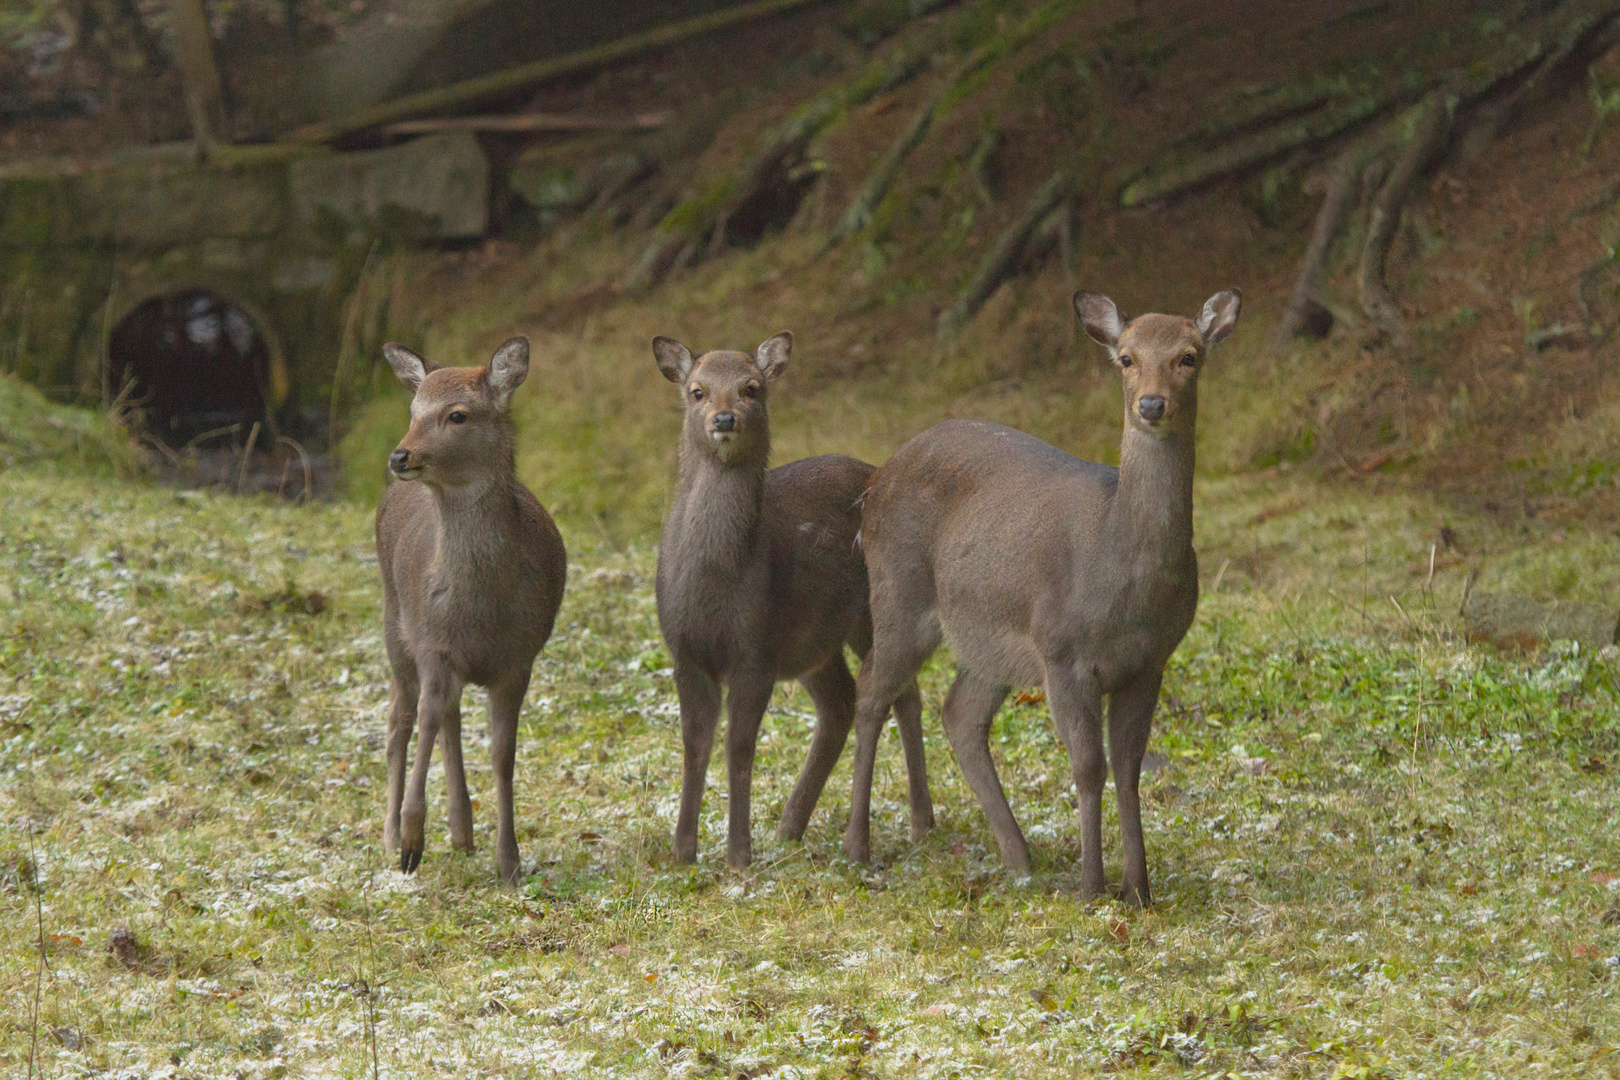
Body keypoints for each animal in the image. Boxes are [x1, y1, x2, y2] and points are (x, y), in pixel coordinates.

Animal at [375, 338, 567, 887]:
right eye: (413, 410)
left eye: (457, 414)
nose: (400, 455)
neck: (483, 612)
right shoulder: (432, 643)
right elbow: (424, 721)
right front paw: (412, 841)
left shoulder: (520, 658)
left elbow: (503, 754)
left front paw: (510, 860)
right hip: (394, 621)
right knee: (401, 718)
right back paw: (391, 836)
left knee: (450, 718)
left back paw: (462, 832)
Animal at [648, 331, 933, 867]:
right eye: (697, 391)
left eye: (752, 388)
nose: (724, 419)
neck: (715, 585)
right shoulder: (685, 651)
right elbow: (694, 744)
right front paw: (683, 851)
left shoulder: (756, 648)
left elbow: (739, 745)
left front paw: (738, 852)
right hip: (814, 642)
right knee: (841, 702)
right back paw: (790, 826)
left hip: (876, 612)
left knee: (900, 695)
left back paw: (918, 823)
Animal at [848, 289, 1237, 913]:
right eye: (1126, 358)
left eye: (1189, 356)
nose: (1152, 404)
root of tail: (873, 485)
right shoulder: (1063, 651)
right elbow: (1088, 766)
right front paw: (1092, 886)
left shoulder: (1150, 661)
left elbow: (1129, 767)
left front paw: (1139, 888)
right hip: (898, 594)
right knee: (871, 693)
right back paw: (858, 847)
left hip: (988, 639)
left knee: (959, 712)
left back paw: (1019, 857)